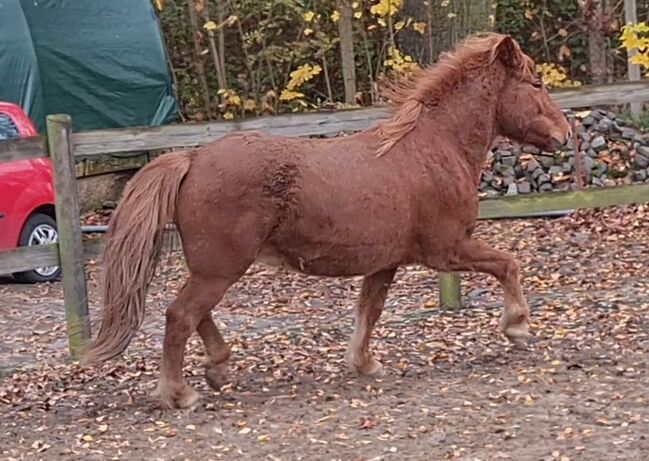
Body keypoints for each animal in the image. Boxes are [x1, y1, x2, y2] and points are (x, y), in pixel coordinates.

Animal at [83, 33, 568, 410]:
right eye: (536, 82)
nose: (565, 133)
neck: (434, 147)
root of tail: (192, 158)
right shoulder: (447, 251)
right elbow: (508, 264)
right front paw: (518, 326)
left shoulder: (385, 263)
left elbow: (369, 311)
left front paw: (364, 363)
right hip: (220, 268)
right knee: (181, 315)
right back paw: (179, 394)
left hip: (212, 268)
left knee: (194, 314)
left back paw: (217, 368)